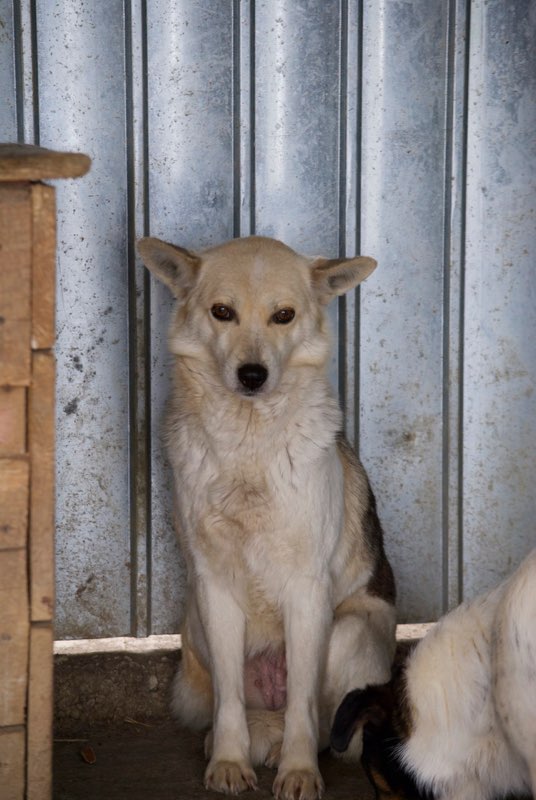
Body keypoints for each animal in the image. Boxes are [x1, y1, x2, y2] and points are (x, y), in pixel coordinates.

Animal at [137, 236, 398, 800]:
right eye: (222, 312)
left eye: (284, 315)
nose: (252, 376)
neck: (249, 444)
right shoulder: (214, 588)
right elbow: (230, 701)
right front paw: (229, 761)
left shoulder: (306, 590)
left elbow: (303, 705)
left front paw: (298, 771)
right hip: (196, 625)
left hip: (346, 630)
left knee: (324, 722)